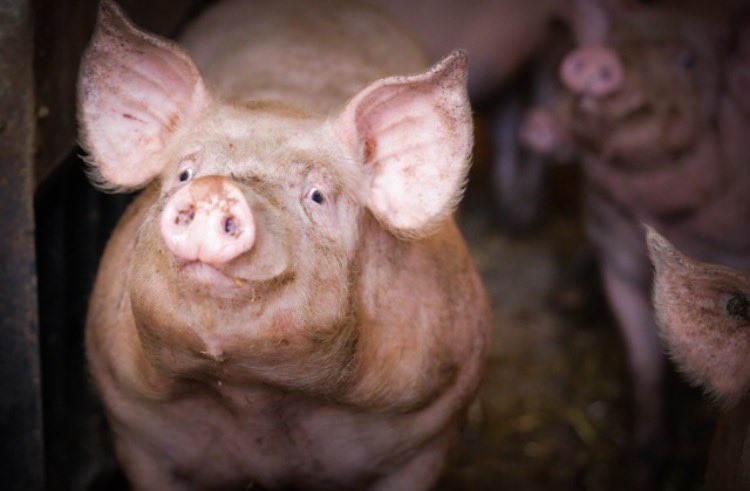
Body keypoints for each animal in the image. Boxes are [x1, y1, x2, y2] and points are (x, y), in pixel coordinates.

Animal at [78, 1, 492, 489]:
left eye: (317, 196)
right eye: (183, 174)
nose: (215, 188)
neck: (254, 395)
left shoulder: (428, 434)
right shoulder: (134, 428)